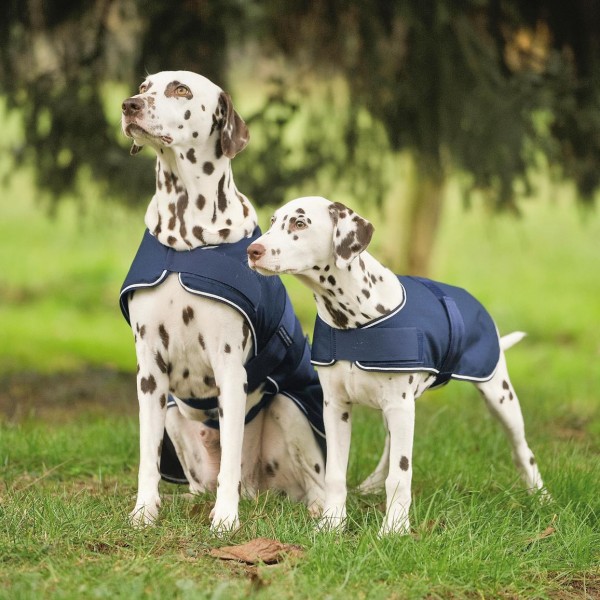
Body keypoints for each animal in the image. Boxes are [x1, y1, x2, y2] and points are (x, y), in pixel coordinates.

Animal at [119, 72, 326, 532]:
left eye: (180, 89)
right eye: (144, 85)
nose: (129, 105)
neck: (185, 241)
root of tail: (257, 490)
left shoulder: (230, 369)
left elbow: (230, 456)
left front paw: (226, 520)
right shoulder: (149, 373)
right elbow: (146, 457)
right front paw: (144, 511)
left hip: (289, 409)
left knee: (313, 482)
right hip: (174, 414)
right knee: (200, 480)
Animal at [247, 199, 548, 536]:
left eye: (300, 223)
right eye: (273, 221)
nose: (252, 250)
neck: (353, 319)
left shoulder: (399, 407)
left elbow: (400, 475)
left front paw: (394, 529)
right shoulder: (336, 407)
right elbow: (335, 474)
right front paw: (332, 524)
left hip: (499, 395)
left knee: (523, 449)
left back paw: (540, 495)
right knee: (391, 446)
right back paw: (371, 485)